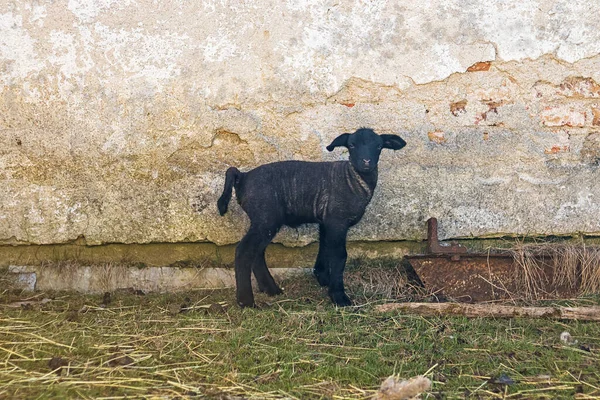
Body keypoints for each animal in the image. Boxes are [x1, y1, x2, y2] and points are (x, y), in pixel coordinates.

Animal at [217, 127, 408, 306]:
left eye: (379, 146)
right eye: (352, 145)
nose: (366, 162)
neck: (353, 179)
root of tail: (242, 177)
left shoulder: (326, 221)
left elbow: (324, 247)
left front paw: (322, 277)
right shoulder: (337, 221)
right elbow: (339, 256)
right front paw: (339, 297)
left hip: (264, 220)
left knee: (257, 252)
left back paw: (271, 289)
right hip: (265, 217)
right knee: (244, 251)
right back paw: (246, 301)